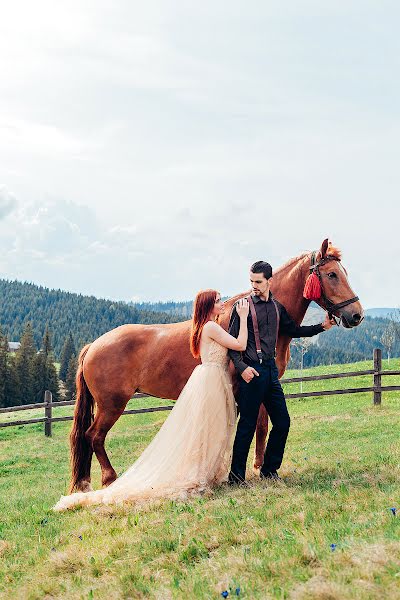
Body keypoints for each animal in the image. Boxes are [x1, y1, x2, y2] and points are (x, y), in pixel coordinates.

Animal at [69, 239, 362, 492]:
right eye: (332, 274)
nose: (356, 314)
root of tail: (92, 346)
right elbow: (252, 427)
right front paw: (251, 470)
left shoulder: (266, 387)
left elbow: (263, 425)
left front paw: (261, 468)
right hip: (112, 405)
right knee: (93, 436)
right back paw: (109, 479)